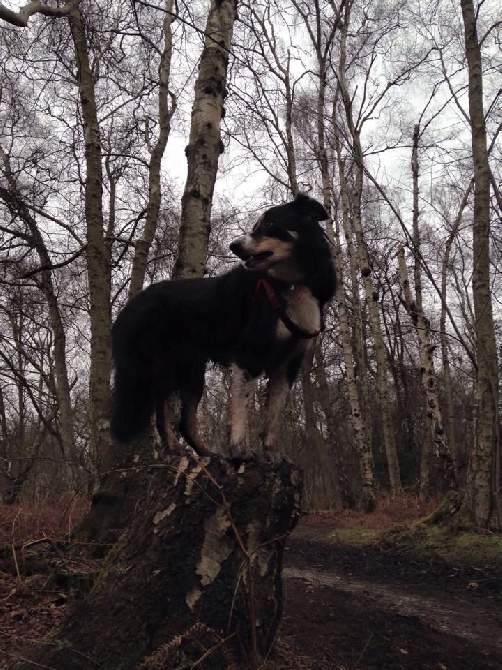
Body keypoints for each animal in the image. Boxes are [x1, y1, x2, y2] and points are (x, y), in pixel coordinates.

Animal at [111, 192, 336, 460]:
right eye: (256, 226)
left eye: (270, 224)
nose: (234, 246)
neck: (291, 283)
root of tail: (130, 307)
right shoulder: (249, 354)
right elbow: (241, 404)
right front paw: (240, 449)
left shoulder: (288, 363)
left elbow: (273, 413)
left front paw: (271, 452)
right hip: (162, 365)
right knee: (161, 411)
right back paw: (177, 449)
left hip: (191, 371)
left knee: (184, 422)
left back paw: (206, 453)